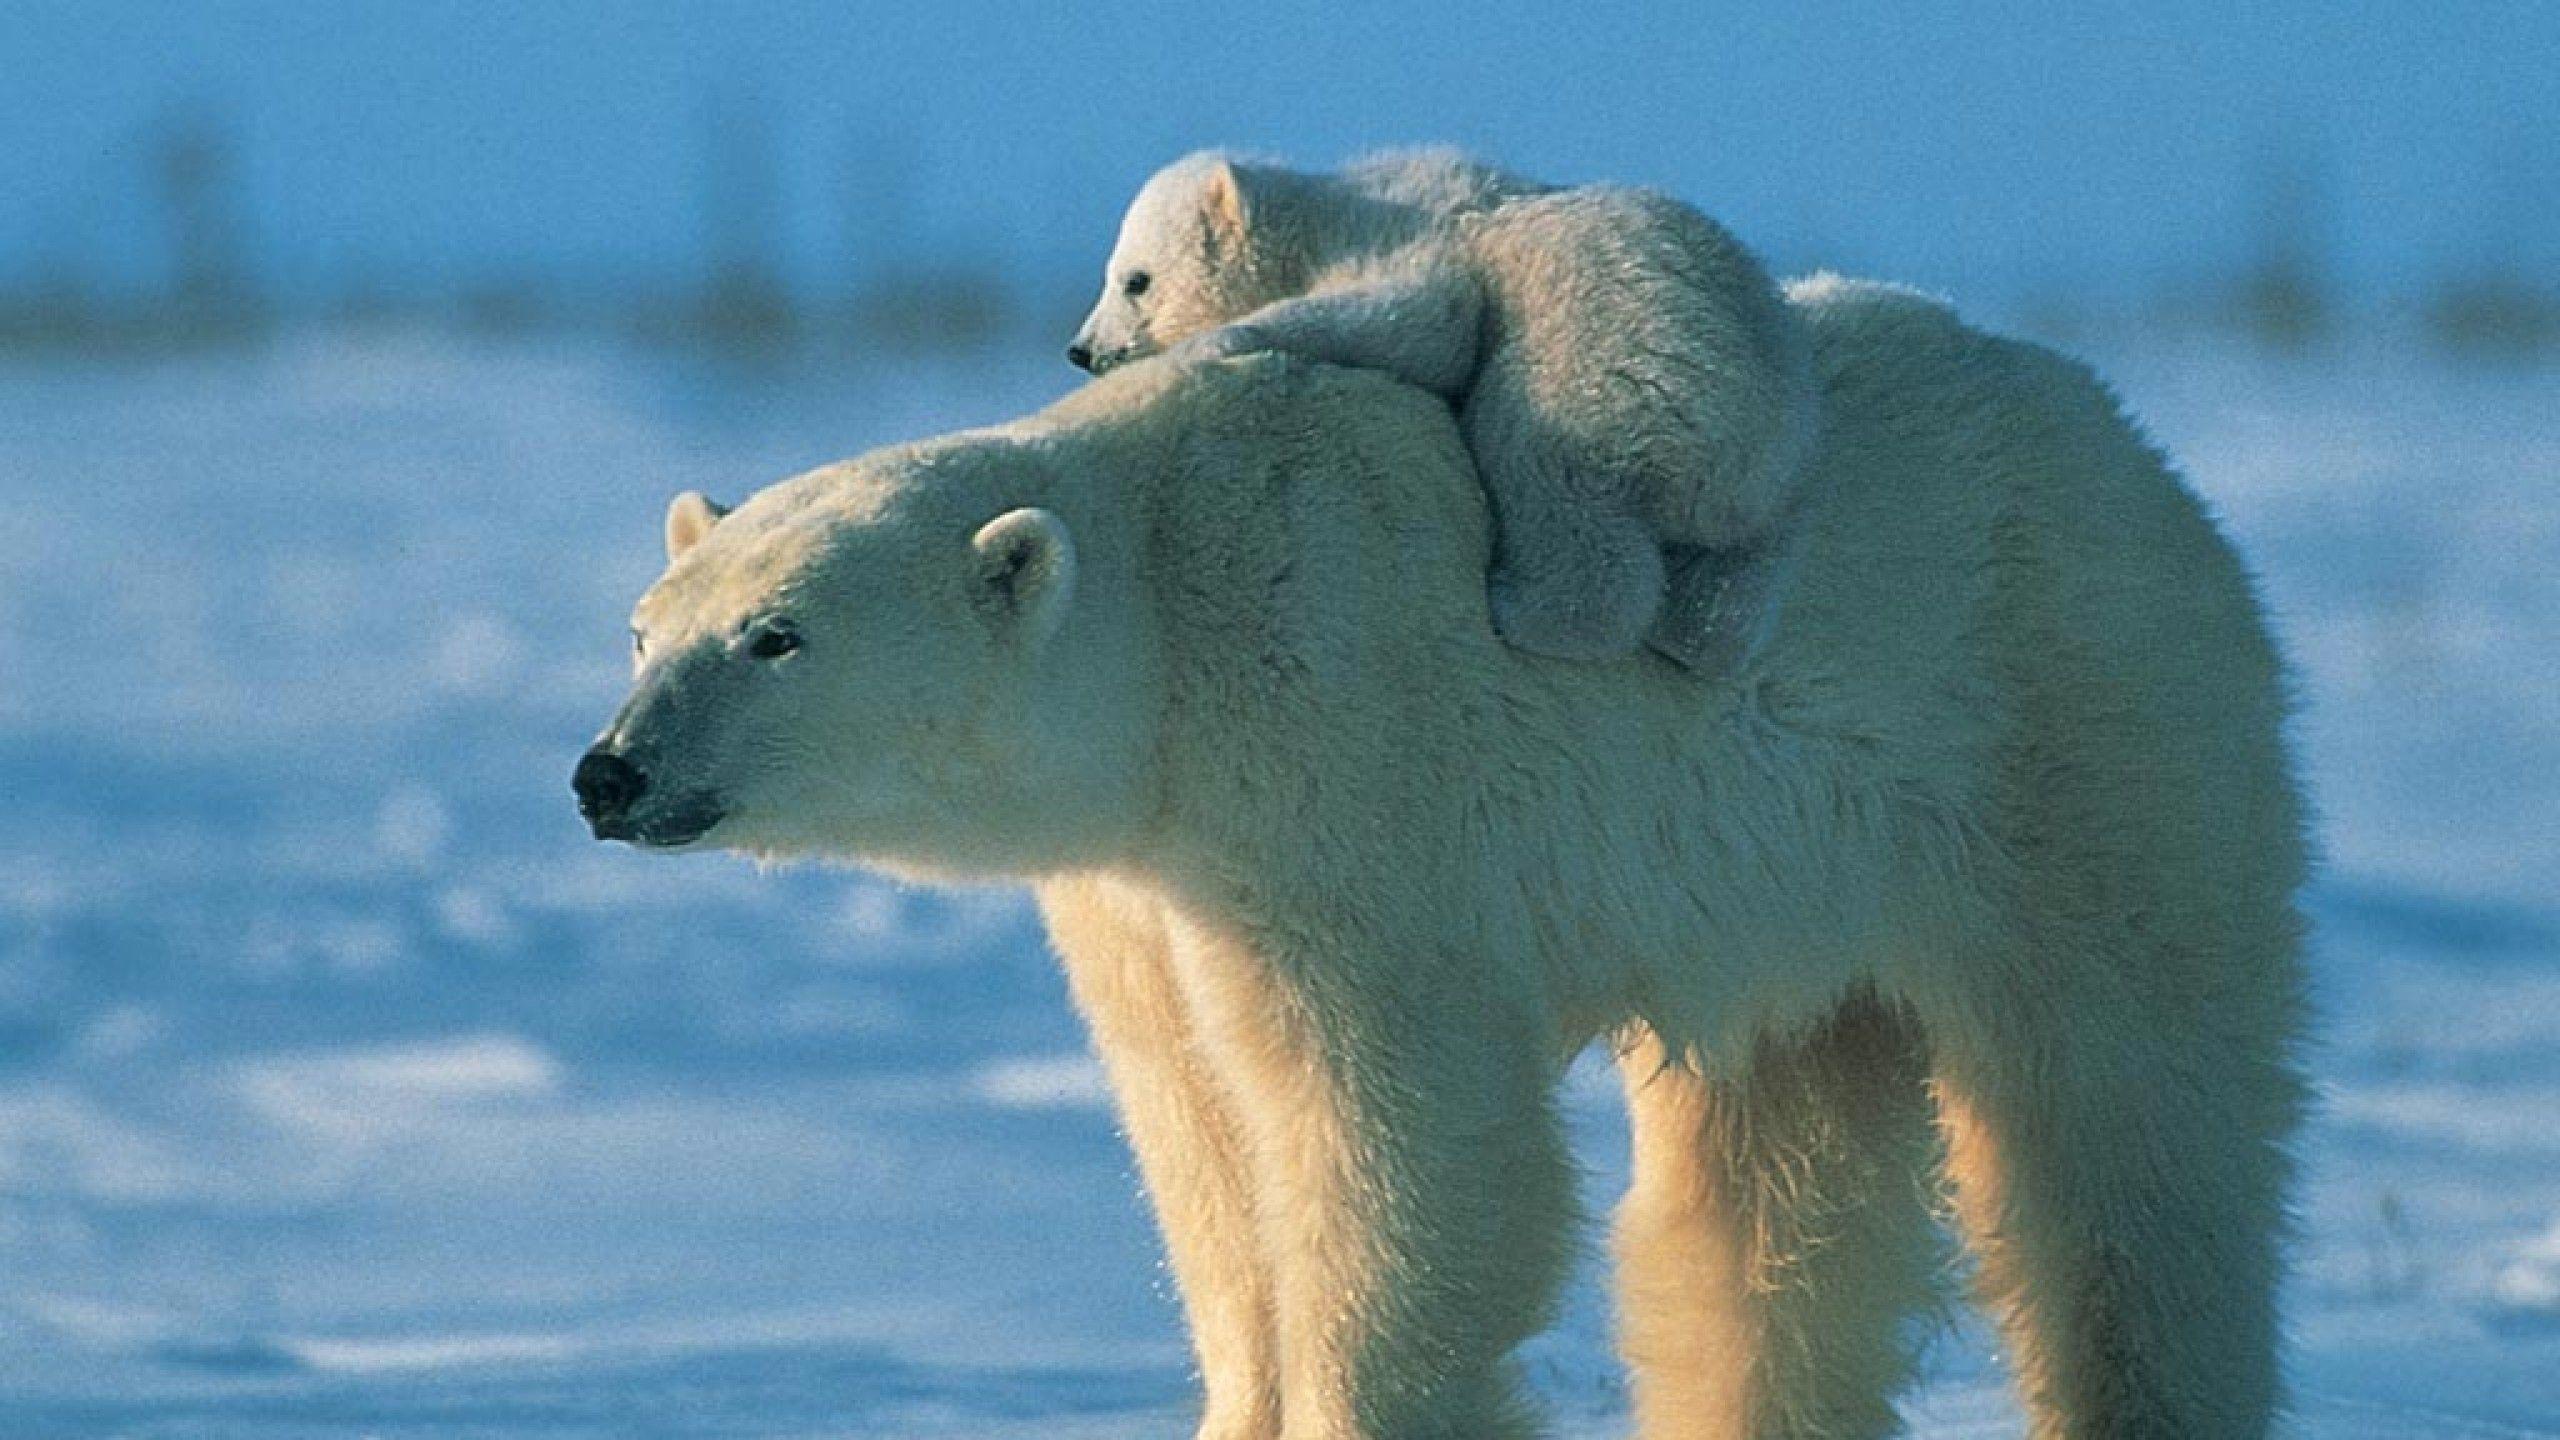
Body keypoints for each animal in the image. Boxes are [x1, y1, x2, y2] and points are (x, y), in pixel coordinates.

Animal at [578, 279, 2308, 1440]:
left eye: (777, 635)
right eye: (647, 629)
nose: (611, 773)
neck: (1177, 616)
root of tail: (2137, 449)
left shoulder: (1345, 776)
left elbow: (1395, 1135)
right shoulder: (1148, 894)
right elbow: (1200, 1143)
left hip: (2075, 737)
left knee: (2130, 1125)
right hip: (1795, 897)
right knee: (1772, 1189)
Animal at [1068, 149, 1818, 675]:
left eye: (1136, 279)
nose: (1082, 350)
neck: (1330, 213)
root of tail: (1737, 459)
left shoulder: (1410, 239)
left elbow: (1426, 320)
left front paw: (1222, 337)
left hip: (1603, 371)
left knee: (1542, 467)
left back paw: (1519, 604)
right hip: (1776, 478)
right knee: (1738, 581)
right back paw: (1695, 632)